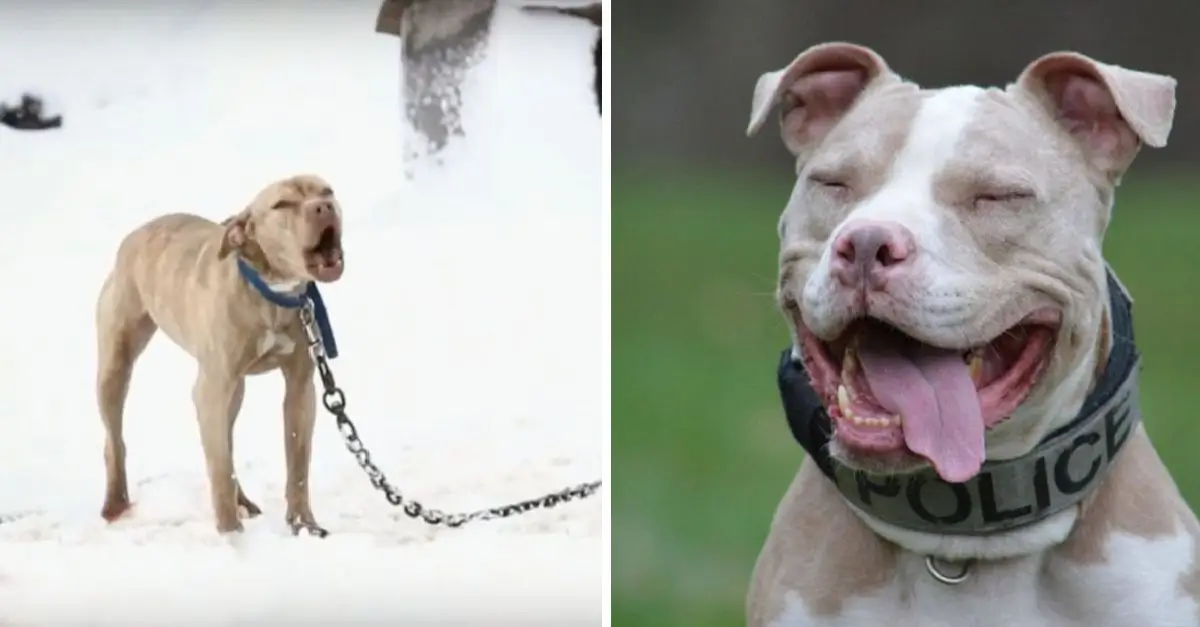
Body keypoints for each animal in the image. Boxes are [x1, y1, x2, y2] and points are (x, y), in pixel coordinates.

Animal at [96, 174, 345, 530]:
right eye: (282, 204)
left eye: (327, 191)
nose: (323, 207)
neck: (269, 291)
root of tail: (135, 234)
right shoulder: (211, 390)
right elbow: (219, 469)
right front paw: (230, 534)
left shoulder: (299, 389)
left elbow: (297, 464)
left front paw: (303, 526)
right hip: (115, 368)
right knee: (114, 439)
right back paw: (115, 502)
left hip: (233, 391)